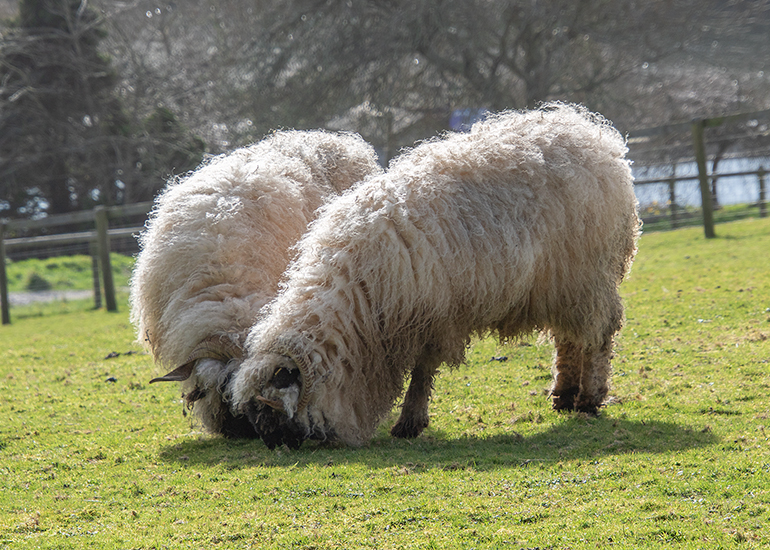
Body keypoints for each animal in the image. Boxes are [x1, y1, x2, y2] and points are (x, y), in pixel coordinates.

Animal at [226, 103, 641, 449]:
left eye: (268, 406)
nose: (272, 445)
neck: (356, 305)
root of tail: (591, 133)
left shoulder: (432, 317)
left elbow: (422, 372)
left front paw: (409, 421)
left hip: (588, 275)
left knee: (598, 335)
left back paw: (589, 397)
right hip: (559, 285)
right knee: (570, 338)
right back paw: (564, 394)